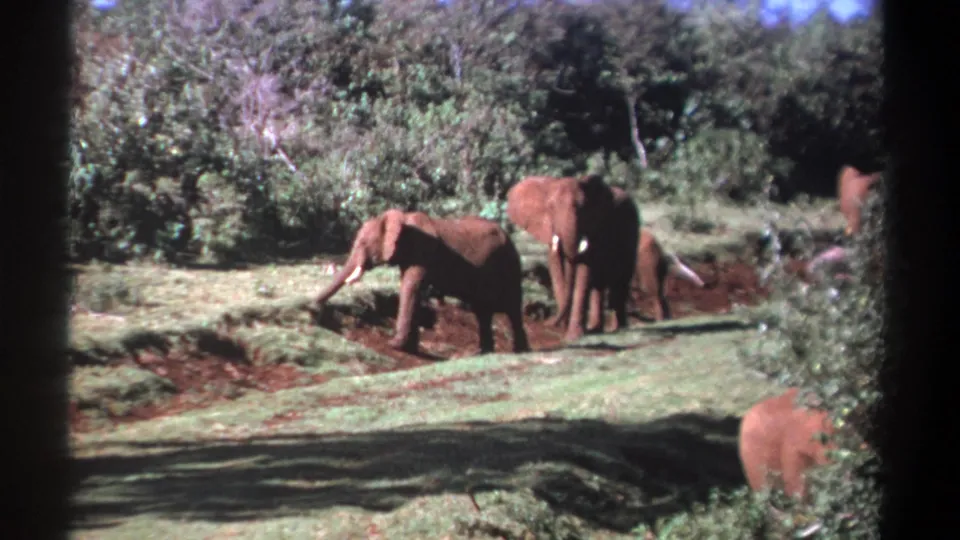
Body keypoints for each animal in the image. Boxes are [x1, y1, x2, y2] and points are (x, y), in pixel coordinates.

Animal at [313, 209, 530, 355]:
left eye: (363, 243)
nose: (313, 305)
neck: (403, 219)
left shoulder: (423, 251)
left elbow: (411, 287)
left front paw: (395, 345)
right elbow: (413, 290)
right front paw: (409, 347)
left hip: (509, 263)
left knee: (512, 306)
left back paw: (520, 352)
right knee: (482, 310)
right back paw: (483, 352)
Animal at [506, 175, 640, 340]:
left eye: (581, 208)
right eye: (550, 208)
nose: (548, 323)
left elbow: (584, 270)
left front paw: (573, 336)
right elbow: (556, 270)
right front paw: (565, 330)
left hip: (631, 234)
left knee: (621, 281)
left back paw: (619, 328)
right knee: (599, 286)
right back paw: (595, 329)